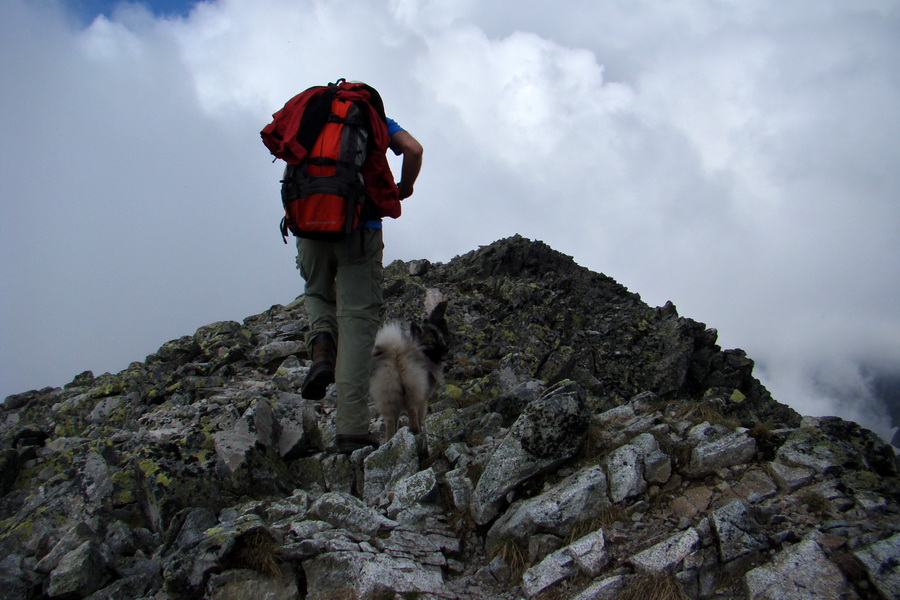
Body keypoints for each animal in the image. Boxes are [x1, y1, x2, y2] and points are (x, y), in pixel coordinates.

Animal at [370, 290, 450, 440]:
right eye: (432, 343)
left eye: (441, 339)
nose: (446, 348)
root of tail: (397, 357)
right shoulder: (424, 398)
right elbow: (420, 414)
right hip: (414, 390)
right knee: (412, 411)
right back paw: (416, 430)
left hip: (388, 398)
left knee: (390, 422)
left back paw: (391, 439)